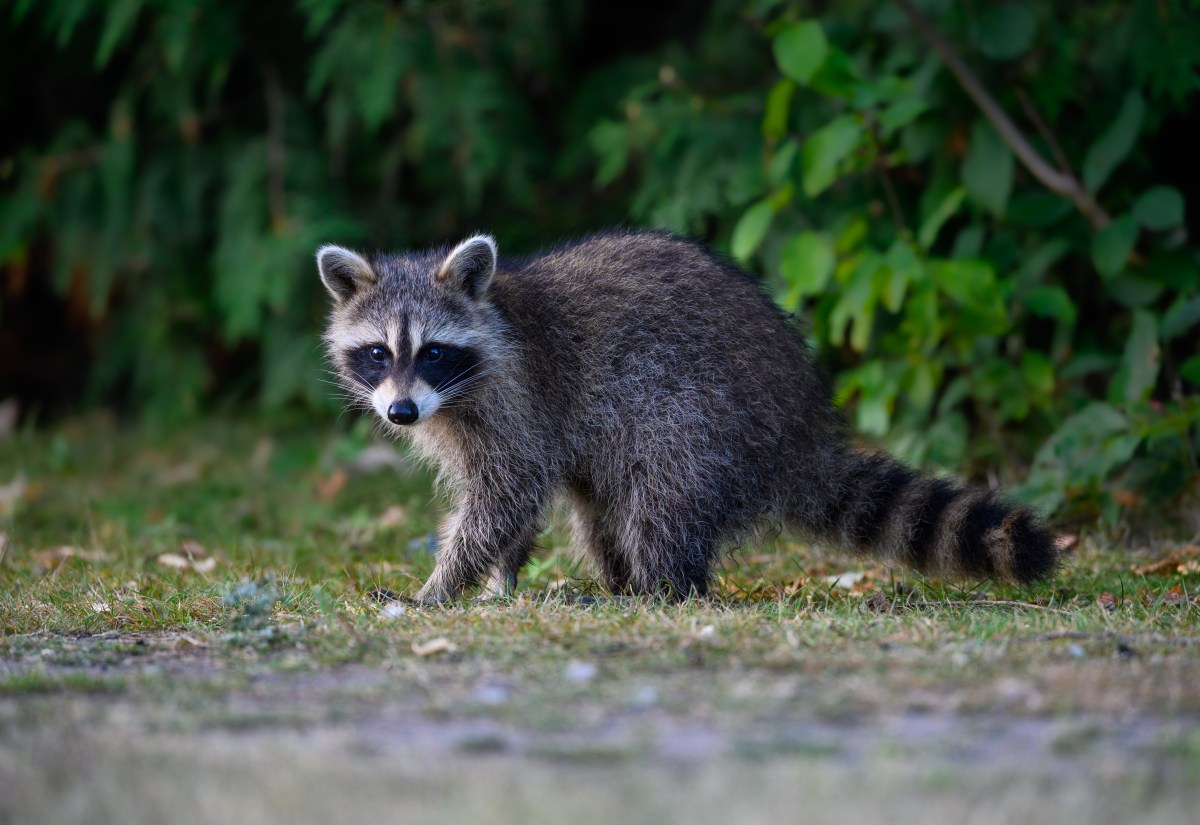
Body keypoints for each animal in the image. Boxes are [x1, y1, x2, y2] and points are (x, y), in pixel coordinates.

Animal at [318, 230, 1059, 603]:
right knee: (601, 508)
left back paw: (658, 589)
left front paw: (443, 583)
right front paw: (502, 576)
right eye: (379, 353)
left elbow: (506, 494)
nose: (401, 412)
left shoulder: (518, 400)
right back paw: (621, 582)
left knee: (660, 500)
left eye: (433, 352)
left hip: (703, 416)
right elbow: (516, 503)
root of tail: (802, 429)